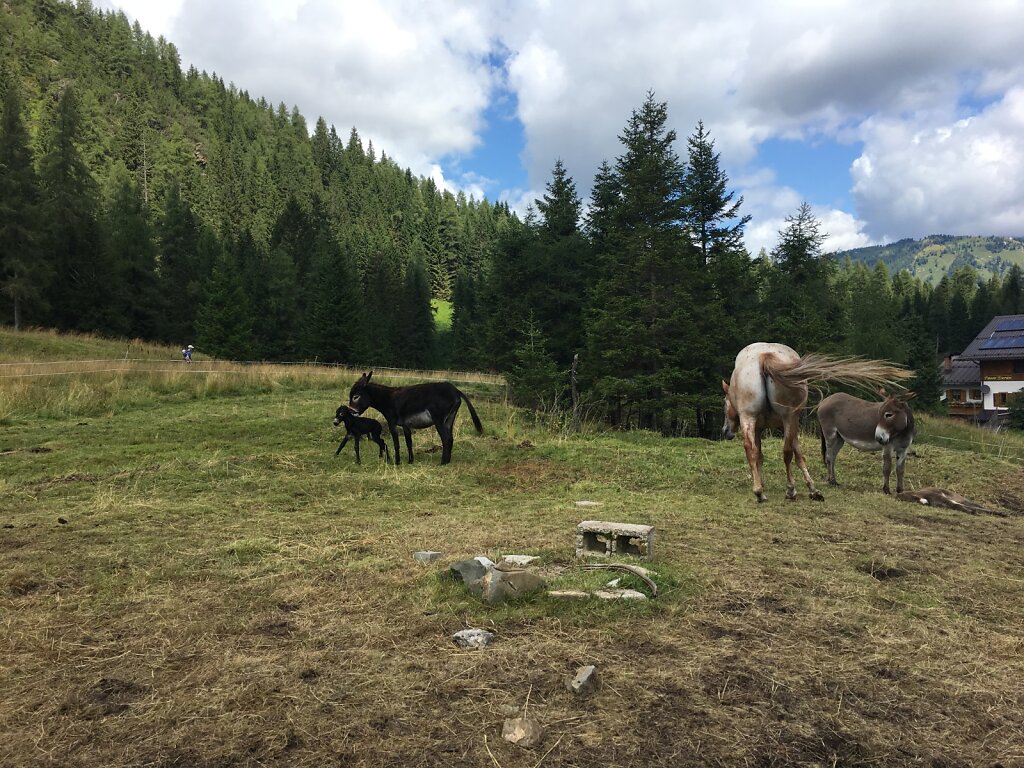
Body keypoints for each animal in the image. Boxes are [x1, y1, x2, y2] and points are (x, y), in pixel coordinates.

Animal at [348, 370, 483, 466]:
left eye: (356, 397)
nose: (351, 412)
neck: (388, 399)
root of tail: (456, 390)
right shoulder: (406, 425)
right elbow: (409, 443)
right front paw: (410, 461)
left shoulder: (392, 423)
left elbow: (396, 443)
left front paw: (397, 462)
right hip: (450, 418)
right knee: (450, 437)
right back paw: (448, 461)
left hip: (439, 419)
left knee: (446, 438)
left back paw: (442, 463)